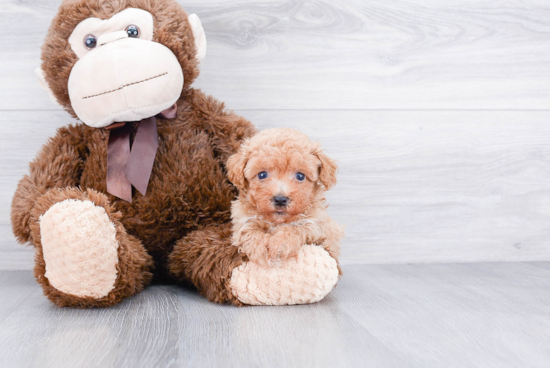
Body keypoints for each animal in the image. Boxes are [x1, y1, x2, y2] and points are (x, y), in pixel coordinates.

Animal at [226, 128, 342, 266]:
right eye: (262, 175)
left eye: (300, 176)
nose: (280, 199)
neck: (277, 221)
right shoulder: (241, 220)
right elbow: (249, 229)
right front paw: (259, 247)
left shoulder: (319, 227)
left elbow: (298, 227)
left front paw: (281, 244)